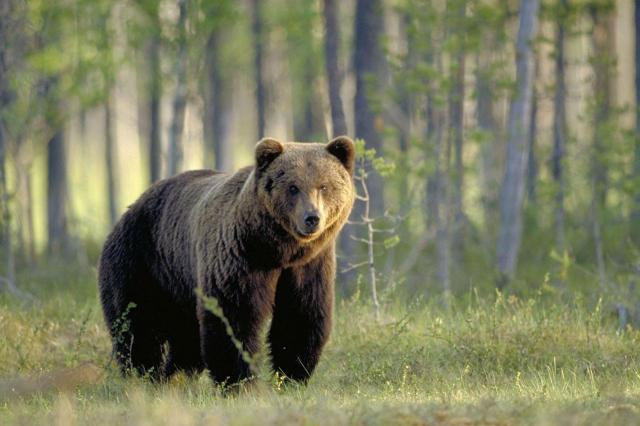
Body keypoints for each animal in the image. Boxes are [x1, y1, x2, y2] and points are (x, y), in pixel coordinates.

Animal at [98, 136, 355, 385]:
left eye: (324, 186)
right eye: (293, 187)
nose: (312, 218)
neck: (278, 250)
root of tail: (128, 211)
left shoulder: (308, 267)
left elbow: (300, 316)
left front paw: (291, 376)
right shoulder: (239, 259)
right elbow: (233, 317)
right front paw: (239, 381)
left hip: (179, 285)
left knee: (186, 336)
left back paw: (175, 378)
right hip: (141, 262)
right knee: (137, 325)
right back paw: (144, 376)